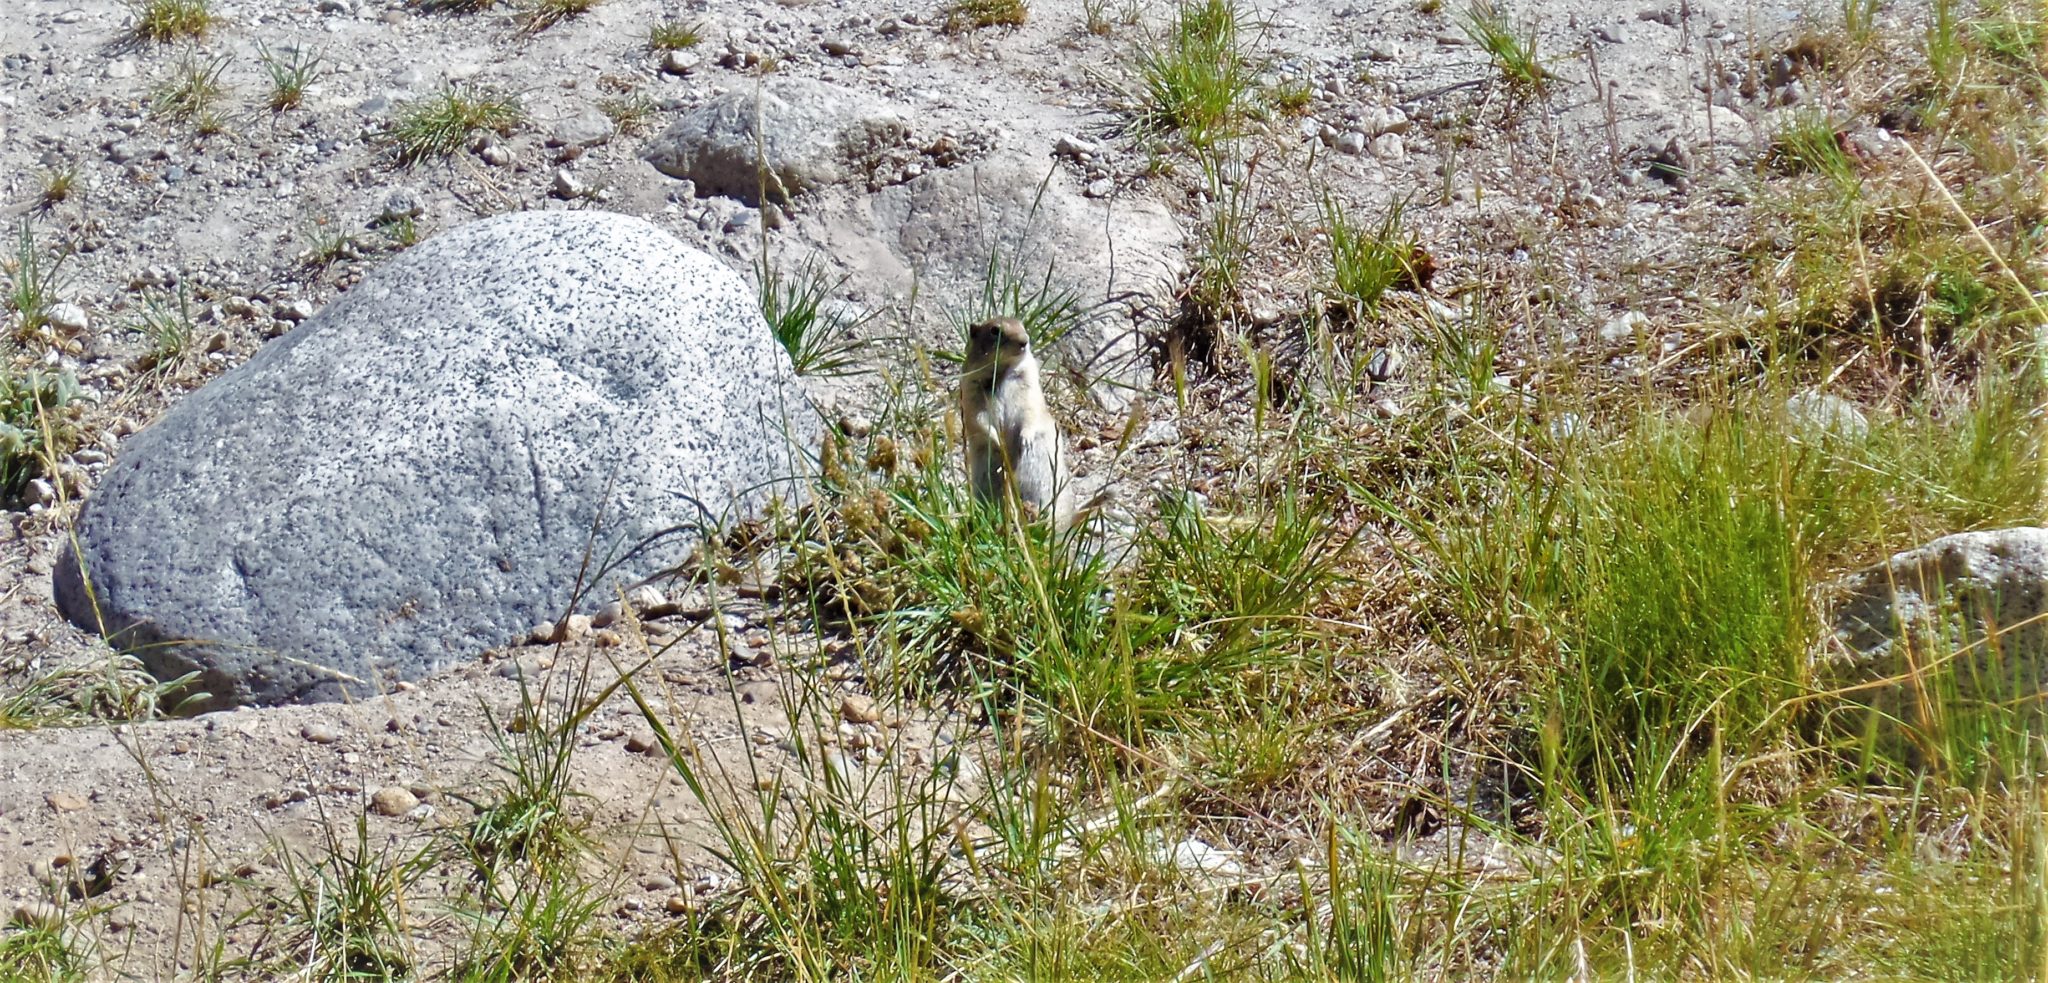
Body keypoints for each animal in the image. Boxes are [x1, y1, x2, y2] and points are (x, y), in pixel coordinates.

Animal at [958, 316, 1074, 531]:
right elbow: (980, 420)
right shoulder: (971, 392)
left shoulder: (1030, 390)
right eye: (995, 330)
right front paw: (997, 442)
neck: (1003, 370)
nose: (1024, 341)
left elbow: (1029, 414)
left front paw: (1025, 439)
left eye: (1021, 324)